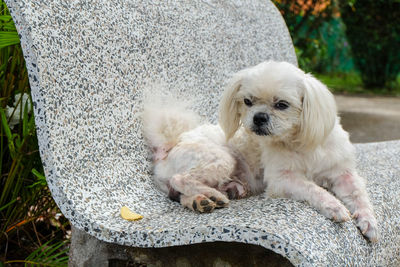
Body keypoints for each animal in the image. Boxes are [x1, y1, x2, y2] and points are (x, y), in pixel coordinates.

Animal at [219, 60, 378, 243]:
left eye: (282, 104)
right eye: (247, 101)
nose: (259, 117)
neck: (300, 143)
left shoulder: (342, 173)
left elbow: (358, 195)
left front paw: (369, 221)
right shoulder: (282, 179)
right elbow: (312, 188)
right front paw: (334, 206)